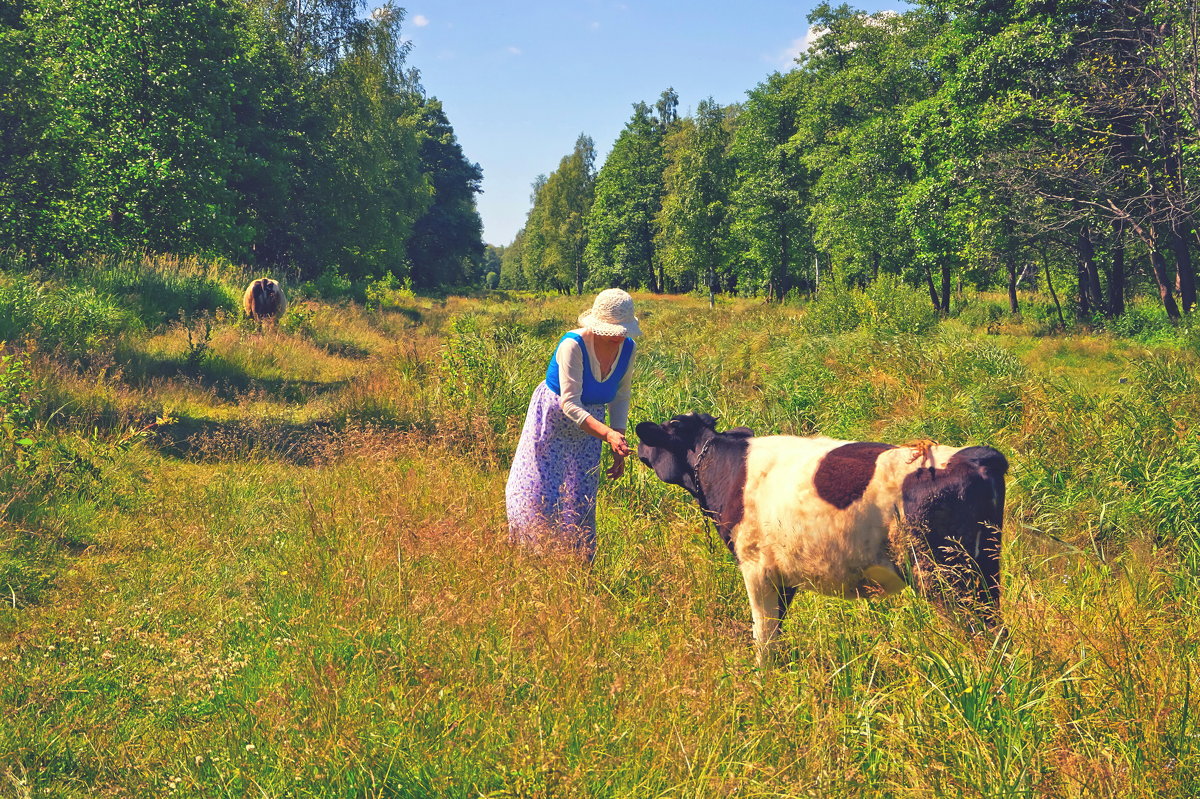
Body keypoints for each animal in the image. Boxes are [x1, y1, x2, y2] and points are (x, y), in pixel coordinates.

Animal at [633, 410, 1008, 657]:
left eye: (664, 430)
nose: (637, 448)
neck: (725, 469)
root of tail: (977, 456)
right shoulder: (782, 575)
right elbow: (777, 628)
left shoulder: (756, 567)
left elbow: (763, 634)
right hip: (984, 571)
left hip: (946, 575)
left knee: (981, 633)